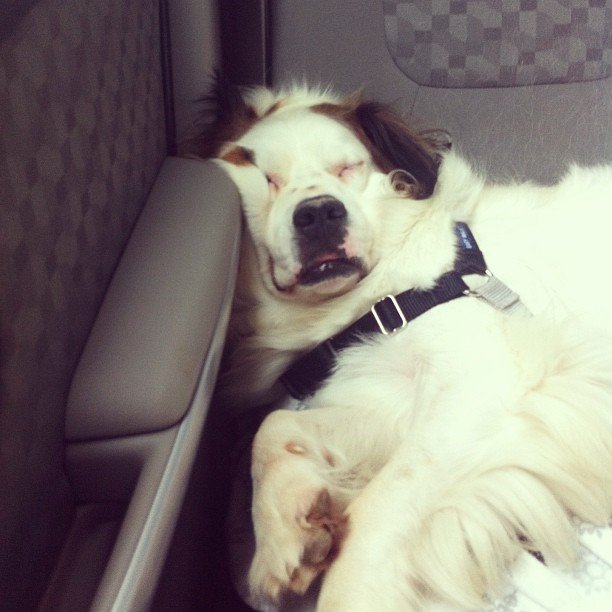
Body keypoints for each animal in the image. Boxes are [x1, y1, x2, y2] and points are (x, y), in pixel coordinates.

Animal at [188, 79, 612, 611]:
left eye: (347, 168)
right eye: (266, 177)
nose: (320, 212)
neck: (382, 299)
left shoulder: (479, 390)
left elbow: (377, 511)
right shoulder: (388, 398)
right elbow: (275, 426)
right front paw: (285, 532)